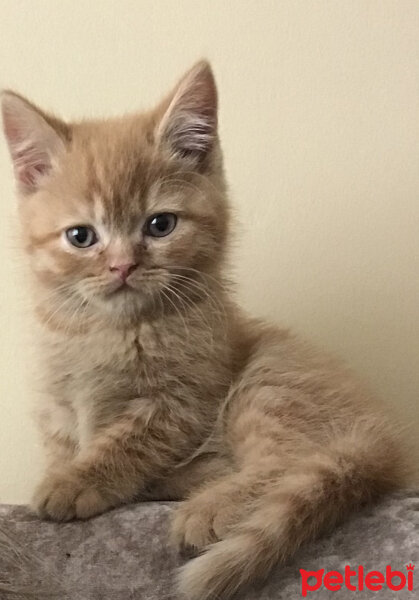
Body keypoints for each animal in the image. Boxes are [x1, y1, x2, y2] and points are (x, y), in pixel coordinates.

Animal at [1, 62, 412, 600]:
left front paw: (74, 482)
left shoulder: (182, 400)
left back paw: (210, 506)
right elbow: (62, 442)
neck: (107, 328)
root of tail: (385, 440)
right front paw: (63, 471)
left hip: (269, 378)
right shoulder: (58, 399)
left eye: (160, 225)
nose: (122, 267)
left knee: (291, 461)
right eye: (80, 236)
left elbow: (129, 440)